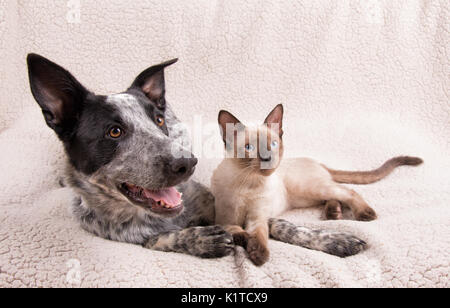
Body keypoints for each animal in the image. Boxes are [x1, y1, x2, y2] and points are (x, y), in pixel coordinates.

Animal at [26, 54, 368, 260]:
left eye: (158, 121)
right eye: (114, 132)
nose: (187, 163)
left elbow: (282, 225)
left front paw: (333, 239)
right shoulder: (132, 239)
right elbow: (166, 239)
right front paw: (201, 239)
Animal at [211, 104, 422, 266]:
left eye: (273, 144)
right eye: (249, 148)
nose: (267, 158)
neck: (248, 183)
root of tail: (319, 162)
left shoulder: (258, 217)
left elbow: (259, 236)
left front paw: (260, 256)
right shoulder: (223, 219)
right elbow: (236, 231)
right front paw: (244, 242)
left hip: (309, 189)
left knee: (347, 191)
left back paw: (364, 214)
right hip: (305, 197)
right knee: (334, 196)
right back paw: (334, 213)